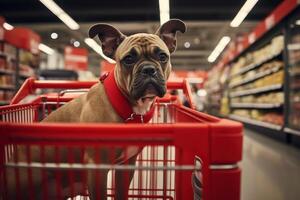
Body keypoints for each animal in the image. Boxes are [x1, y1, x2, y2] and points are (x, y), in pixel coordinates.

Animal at [6, 19, 185, 200]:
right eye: (128, 59)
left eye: (162, 56)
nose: (148, 69)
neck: (128, 107)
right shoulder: (97, 168)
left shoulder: (126, 166)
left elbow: (121, 192)